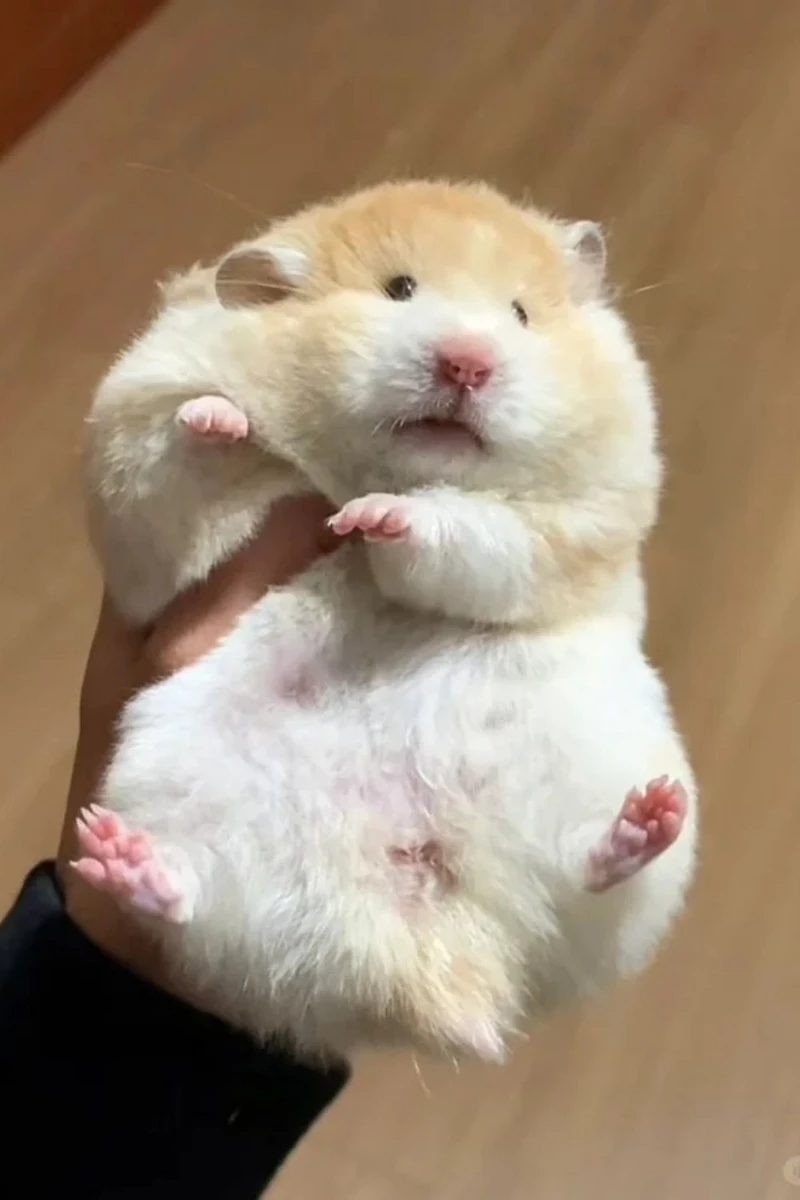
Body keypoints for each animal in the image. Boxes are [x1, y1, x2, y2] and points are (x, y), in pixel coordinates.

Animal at [80, 180, 697, 1062]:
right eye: (398, 289)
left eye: (520, 314)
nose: (467, 363)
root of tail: (428, 947)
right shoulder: (136, 475)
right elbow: (176, 458)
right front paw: (224, 422)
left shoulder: (571, 527)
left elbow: (465, 528)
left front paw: (372, 518)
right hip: (175, 785)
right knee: (193, 905)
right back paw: (119, 856)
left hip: (596, 773)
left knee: (590, 872)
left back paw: (643, 820)